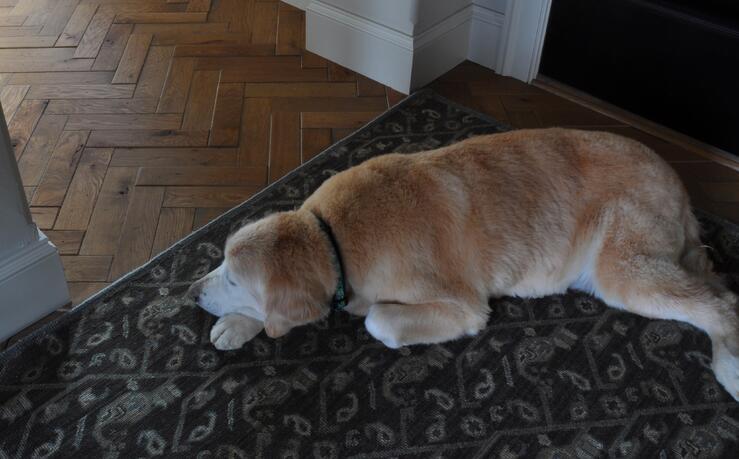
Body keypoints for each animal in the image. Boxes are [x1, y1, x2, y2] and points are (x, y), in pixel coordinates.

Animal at [191, 127, 739, 400]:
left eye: (236, 279)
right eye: (223, 266)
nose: (190, 292)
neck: (332, 236)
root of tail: (677, 181)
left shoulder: (463, 305)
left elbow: (377, 320)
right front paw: (237, 325)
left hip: (624, 271)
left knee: (722, 305)